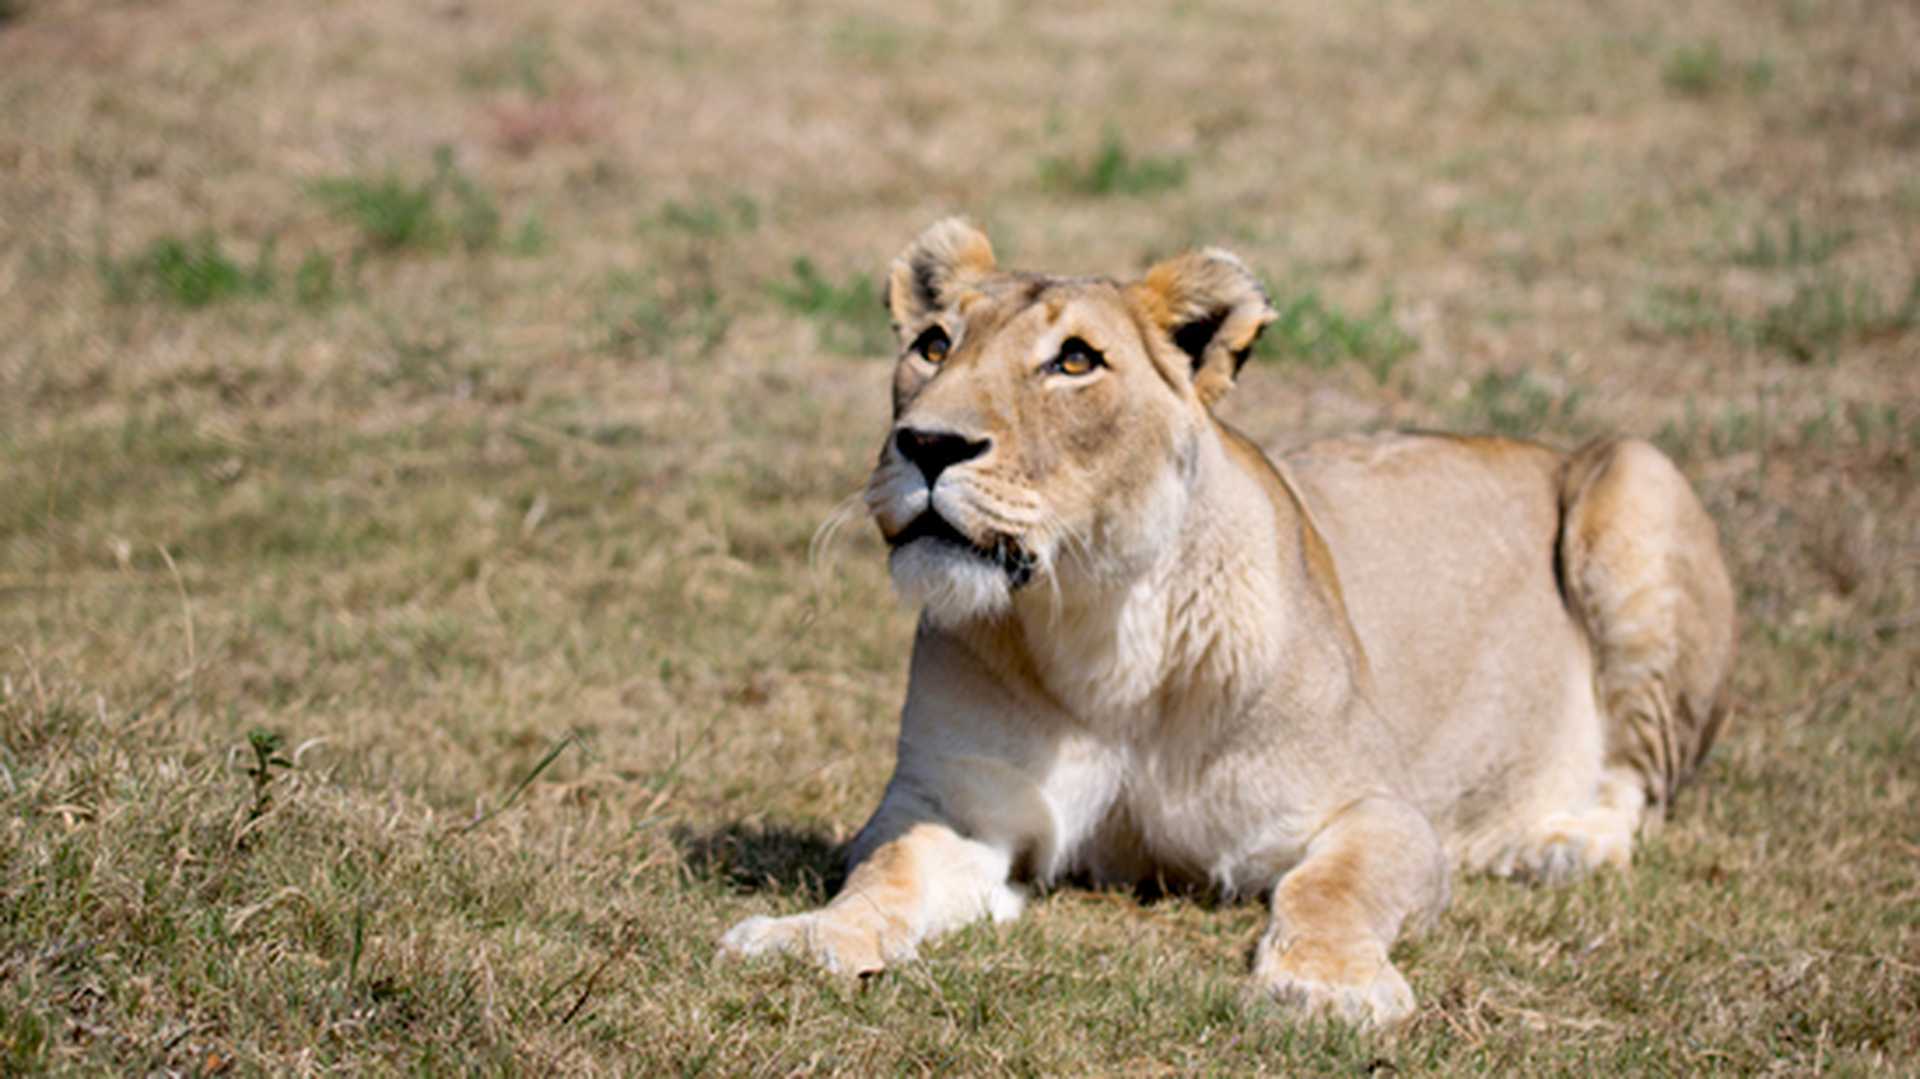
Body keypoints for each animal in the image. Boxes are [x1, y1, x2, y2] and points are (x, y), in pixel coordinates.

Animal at [719, 219, 1736, 1025]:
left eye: (1075, 361)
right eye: (932, 344)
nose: (927, 444)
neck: (1099, 627)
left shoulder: (1378, 809)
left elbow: (1333, 887)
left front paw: (1326, 988)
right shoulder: (950, 807)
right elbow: (884, 871)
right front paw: (808, 936)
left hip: (1637, 475)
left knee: (1638, 783)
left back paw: (1558, 843)